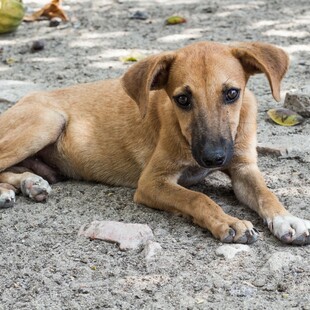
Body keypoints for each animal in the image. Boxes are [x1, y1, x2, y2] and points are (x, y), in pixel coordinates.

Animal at [0, 41, 310, 245]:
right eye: (182, 99)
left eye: (232, 93)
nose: (213, 158)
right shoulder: (151, 182)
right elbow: (197, 198)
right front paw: (227, 221)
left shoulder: (243, 167)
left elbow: (266, 194)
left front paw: (287, 219)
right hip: (46, 121)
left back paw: (30, 182)